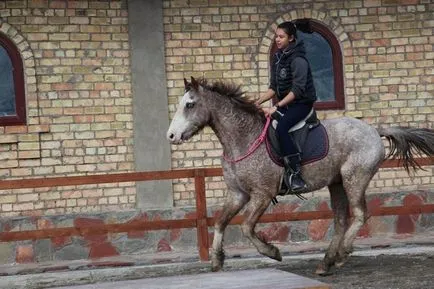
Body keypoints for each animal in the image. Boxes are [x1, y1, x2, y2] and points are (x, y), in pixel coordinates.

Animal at [166, 75, 434, 274]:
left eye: (190, 104)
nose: (171, 136)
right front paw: (216, 260)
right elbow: (221, 222)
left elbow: (246, 227)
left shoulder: (262, 194)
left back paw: (342, 254)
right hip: (336, 183)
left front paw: (272, 252)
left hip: (354, 179)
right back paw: (326, 262)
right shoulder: (238, 194)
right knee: (341, 220)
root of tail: (374, 131)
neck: (244, 139)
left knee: (359, 214)